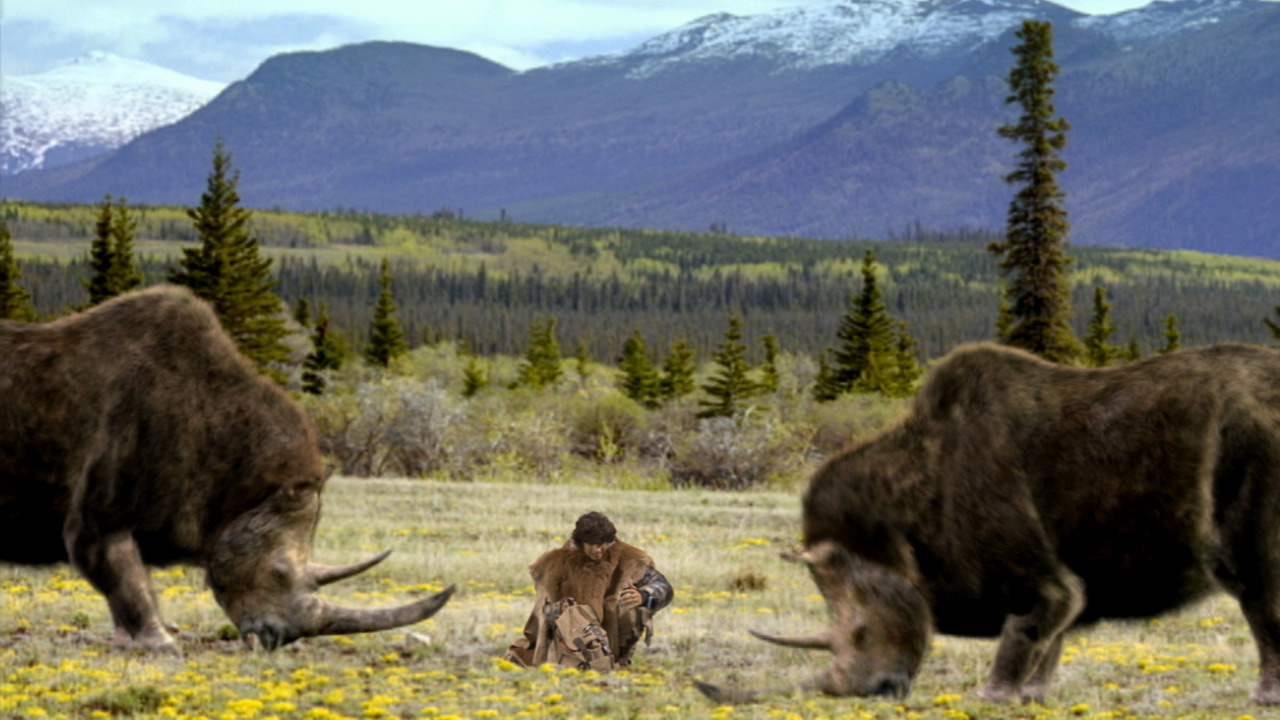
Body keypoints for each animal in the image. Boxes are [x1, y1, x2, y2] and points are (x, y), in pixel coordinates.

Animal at [0, 285, 453, 651]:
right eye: (278, 573)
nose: (278, 638)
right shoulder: (102, 509)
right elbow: (125, 578)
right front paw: (161, 644)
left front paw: (130, 642)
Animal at [699, 342, 1280, 705]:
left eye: (861, 632)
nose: (879, 690)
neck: (891, 538)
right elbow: (1053, 637)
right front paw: (1033, 696)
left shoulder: (1034, 574)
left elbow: (1031, 622)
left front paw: (992, 695)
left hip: (1252, 446)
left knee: (1252, 583)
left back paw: (1263, 696)